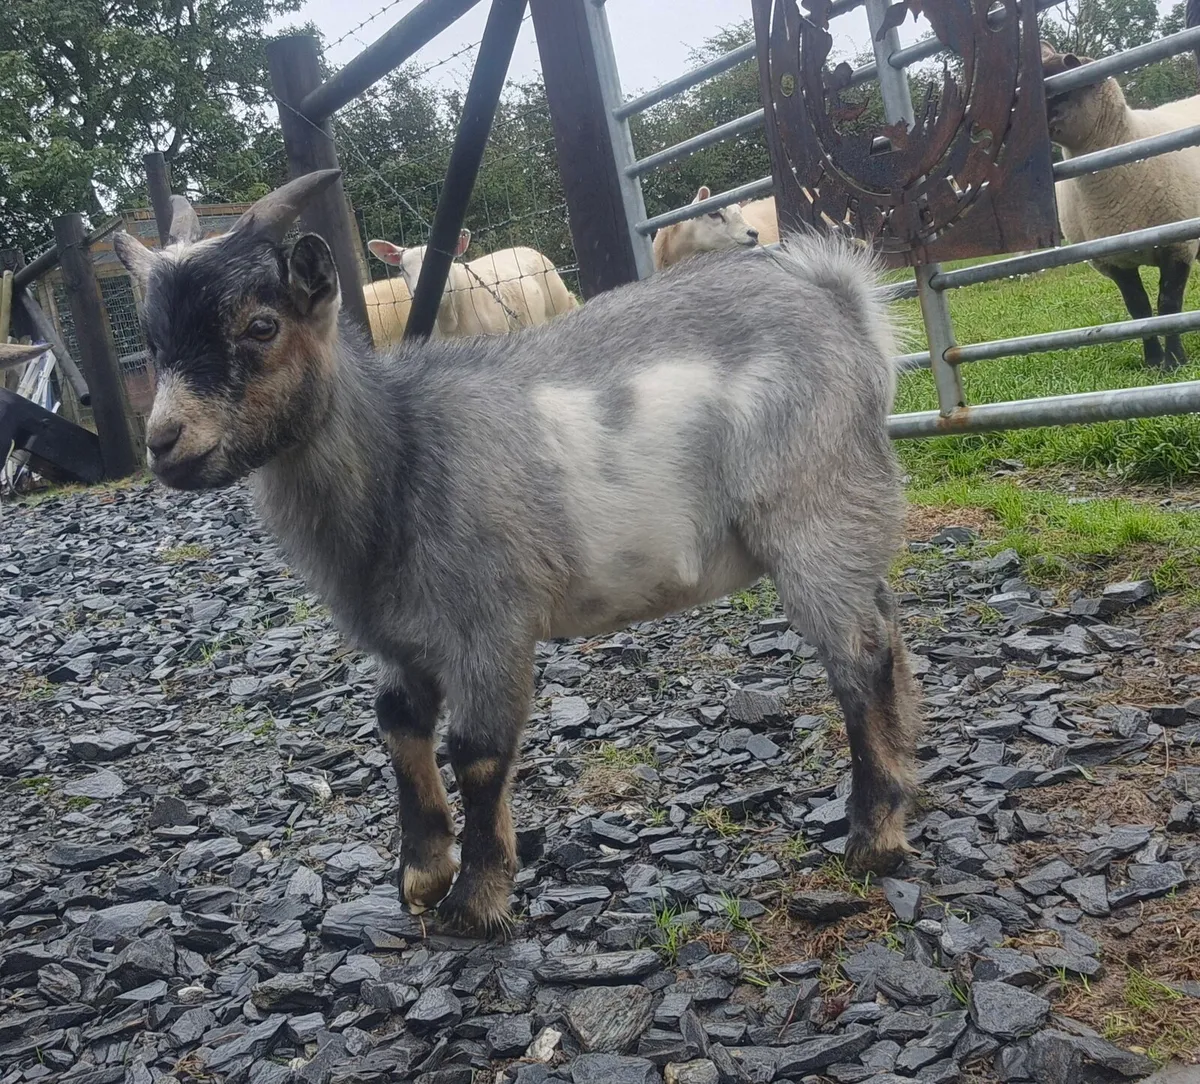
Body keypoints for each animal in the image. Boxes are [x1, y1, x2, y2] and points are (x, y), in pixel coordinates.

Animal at [1042, 39, 1200, 369]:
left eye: (1056, 91)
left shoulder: (1179, 245)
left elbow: (1169, 306)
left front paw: (1174, 361)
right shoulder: (1113, 260)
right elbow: (1138, 309)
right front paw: (1152, 362)